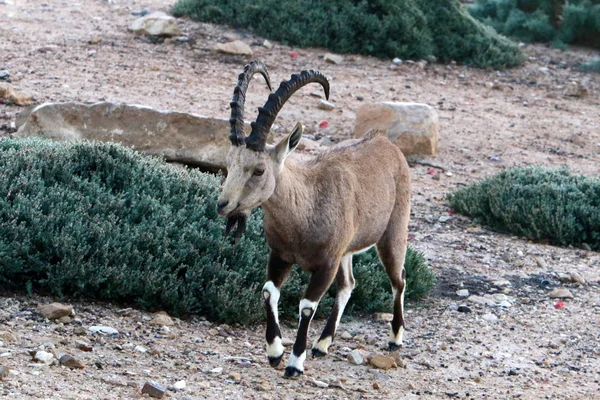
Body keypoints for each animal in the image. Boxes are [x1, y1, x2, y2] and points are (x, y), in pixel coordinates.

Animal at [218, 61, 410, 376]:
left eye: (259, 170)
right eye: (228, 163)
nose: (223, 205)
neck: (304, 211)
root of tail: (385, 142)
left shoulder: (326, 264)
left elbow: (307, 305)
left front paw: (295, 362)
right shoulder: (281, 255)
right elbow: (269, 292)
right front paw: (274, 352)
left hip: (393, 233)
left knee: (399, 280)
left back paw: (395, 338)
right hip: (347, 252)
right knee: (348, 285)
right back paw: (322, 343)